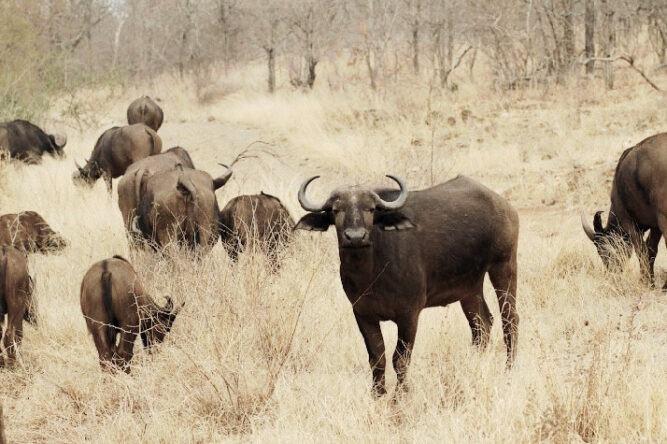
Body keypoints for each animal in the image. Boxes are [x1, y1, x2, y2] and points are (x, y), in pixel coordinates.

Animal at [298, 173, 520, 396]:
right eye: (336, 210)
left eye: (370, 209)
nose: (355, 237)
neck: (372, 273)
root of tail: (503, 205)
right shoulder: (362, 314)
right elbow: (377, 357)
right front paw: (378, 394)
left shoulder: (409, 315)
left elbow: (400, 359)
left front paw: (400, 395)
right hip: (469, 287)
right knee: (482, 326)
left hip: (504, 266)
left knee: (509, 319)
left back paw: (509, 370)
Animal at [580, 133, 667, 292]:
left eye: (602, 250)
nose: (611, 274)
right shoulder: (655, 225)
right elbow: (652, 250)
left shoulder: (628, 222)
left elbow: (642, 250)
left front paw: (645, 281)